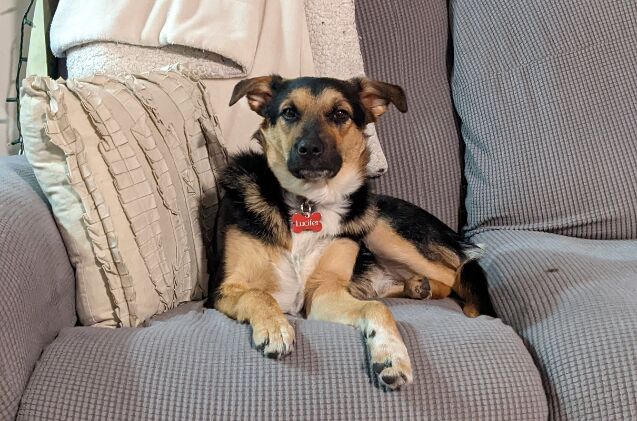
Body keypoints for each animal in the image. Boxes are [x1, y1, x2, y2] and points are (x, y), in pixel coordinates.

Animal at [206, 74, 494, 388]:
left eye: (340, 114)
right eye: (289, 112)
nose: (309, 150)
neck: (308, 203)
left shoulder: (324, 291)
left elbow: (376, 308)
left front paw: (392, 355)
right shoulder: (224, 289)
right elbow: (257, 294)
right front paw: (275, 327)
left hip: (379, 228)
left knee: (455, 272)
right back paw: (418, 286)